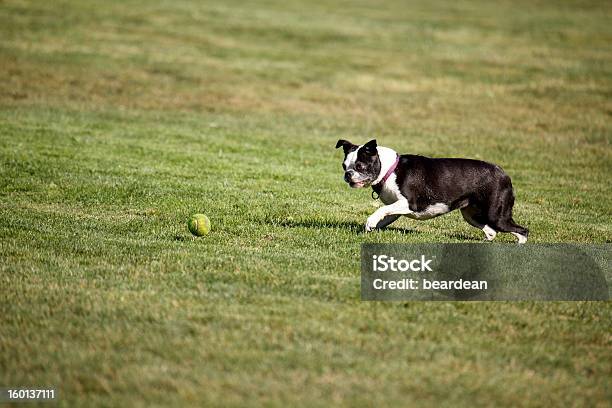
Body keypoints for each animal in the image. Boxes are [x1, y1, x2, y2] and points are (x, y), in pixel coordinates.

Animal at [338, 139, 528, 244]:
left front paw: (370, 222)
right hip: (471, 215)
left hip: (496, 215)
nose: (348, 174)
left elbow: (381, 209)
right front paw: (369, 229)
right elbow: (384, 215)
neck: (391, 170)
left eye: (360, 166)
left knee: (522, 230)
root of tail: (504, 174)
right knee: (491, 231)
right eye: (344, 166)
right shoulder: (396, 207)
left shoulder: (409, 203)